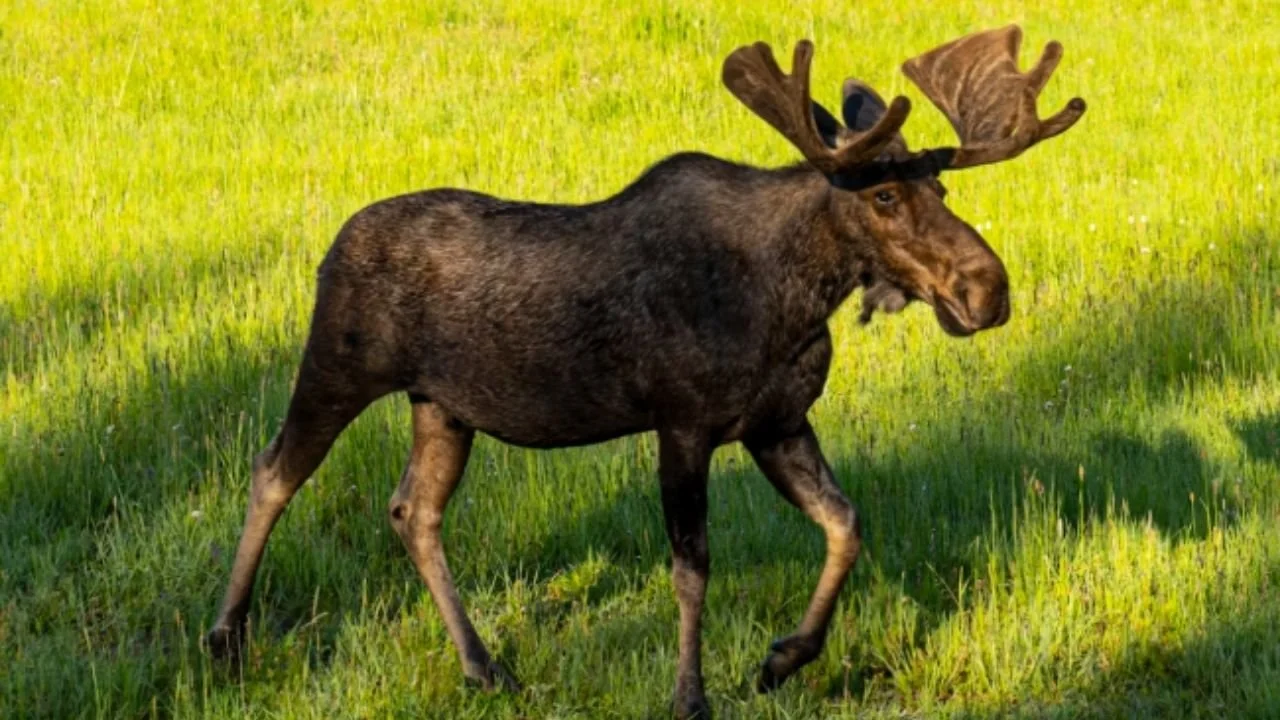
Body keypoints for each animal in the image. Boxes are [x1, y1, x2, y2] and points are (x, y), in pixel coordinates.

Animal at [206, 25, 1085, 718]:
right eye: (886, 198)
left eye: (941, 186)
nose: (988, 290)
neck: (792, 299)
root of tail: (331, 246)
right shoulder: (683, 423)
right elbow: (692, 567)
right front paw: (690, 694)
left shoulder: (778, 422)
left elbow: (847, 524)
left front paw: (782, 659)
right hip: (339, 362)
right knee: (274, 470)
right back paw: (225, 639)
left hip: (443, 404)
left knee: (412, 510)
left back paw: (485, 667)